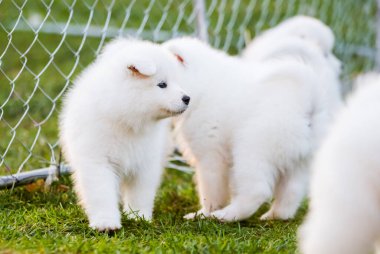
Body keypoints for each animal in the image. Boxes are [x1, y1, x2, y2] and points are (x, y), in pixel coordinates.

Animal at [59, 38, 190, 231]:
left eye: (178, 83)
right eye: (162, 84)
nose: (187, 98)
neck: (126, 120)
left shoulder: (145, 162)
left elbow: (140, 193)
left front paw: (139, 217)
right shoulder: (97, 161)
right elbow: (102, 193)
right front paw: (106, 222)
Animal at [162, 36, 332, 221]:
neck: (202, 85)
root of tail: (308, 103)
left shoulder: (211, 155)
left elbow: (210, 191)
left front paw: (203, 214)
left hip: (251, 151)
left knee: (256, 192)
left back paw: (225, 215)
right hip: (299, 163)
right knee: (291, 194)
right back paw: (272, 216)